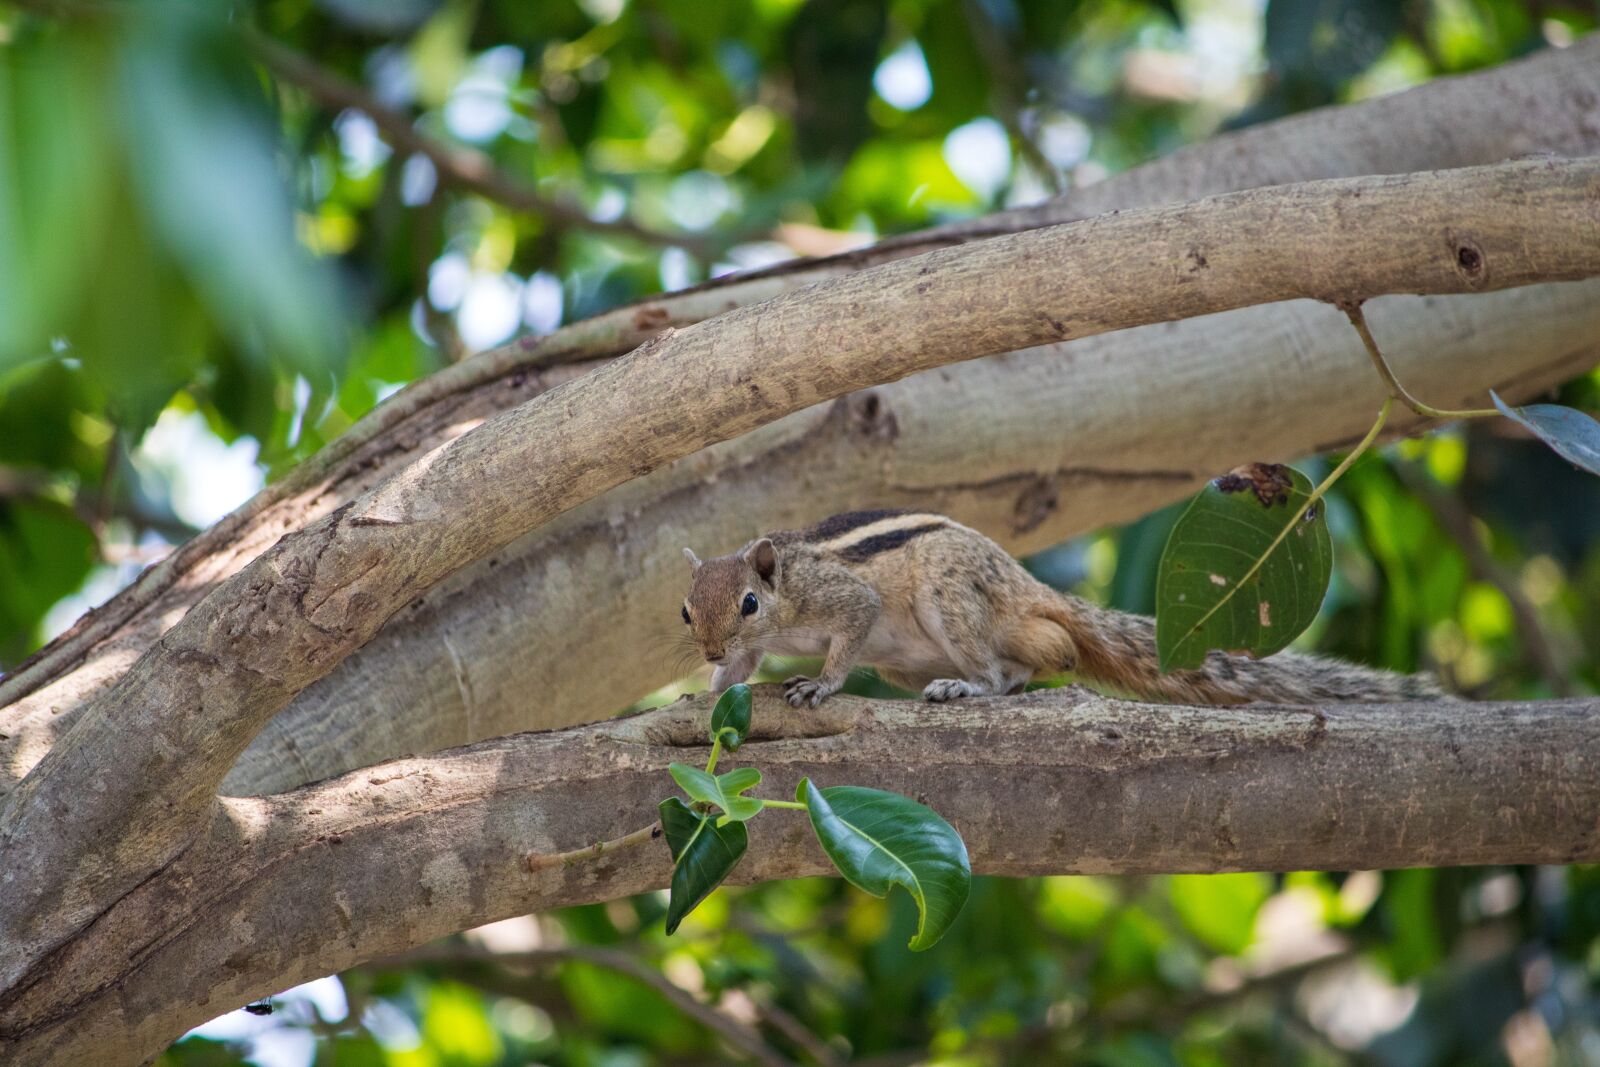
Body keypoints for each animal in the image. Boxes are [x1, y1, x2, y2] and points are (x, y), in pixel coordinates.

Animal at [680, 509, 1447, 708]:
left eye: (749, 601)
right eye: (688, 612)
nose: (709, 650)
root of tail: (1029, 587)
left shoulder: (844, 599)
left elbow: (847, 635)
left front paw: (821, 683)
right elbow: (739, 673)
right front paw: (708, 688)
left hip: (950, 599)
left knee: (1006, 672)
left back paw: (968, 687)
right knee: (1035, 662)